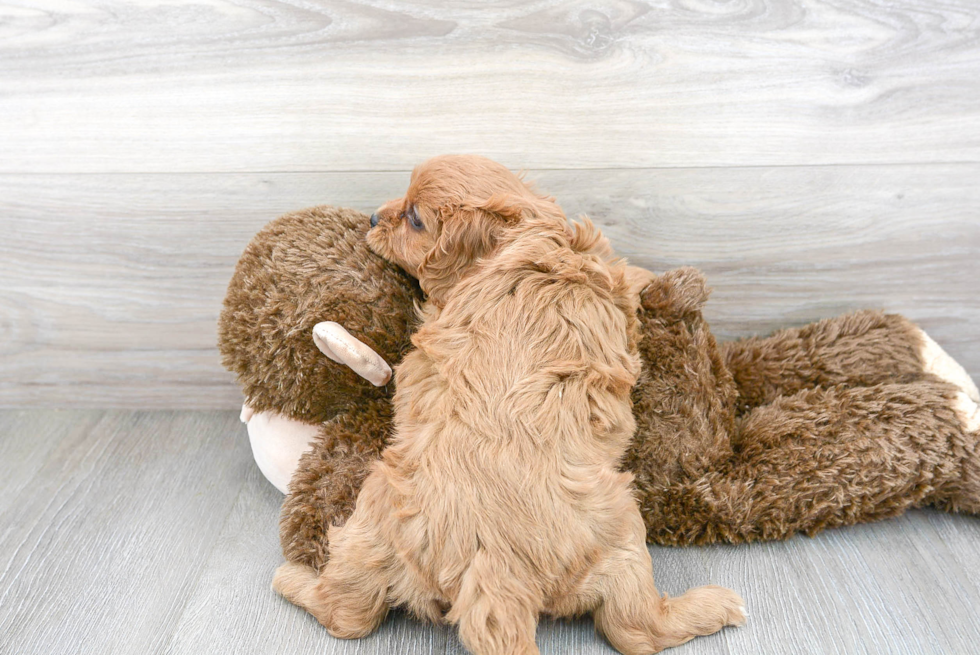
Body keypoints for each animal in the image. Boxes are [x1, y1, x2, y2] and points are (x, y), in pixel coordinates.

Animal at [272, 156, 748, 652]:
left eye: (415, 218)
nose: (370, 218)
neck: (523, 234)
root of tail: (493, 566)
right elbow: (626, 274)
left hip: (375, 522)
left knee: (350, 614)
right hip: (619, 528)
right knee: (635, 629)